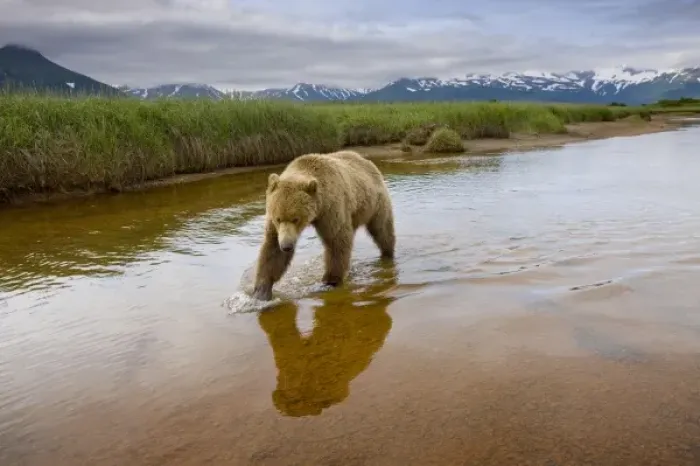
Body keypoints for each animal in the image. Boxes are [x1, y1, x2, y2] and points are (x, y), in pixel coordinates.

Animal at [251, 150, 396, 301]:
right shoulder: (276, 226)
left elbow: (336, 241)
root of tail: (366, 161)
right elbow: (272, 249)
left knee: (382, 228)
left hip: (376, 202)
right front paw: (261, 291)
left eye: (296, 219)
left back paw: (387, 254)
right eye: (278, 219)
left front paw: (330, 281)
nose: (287, 246)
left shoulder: (331, 208)